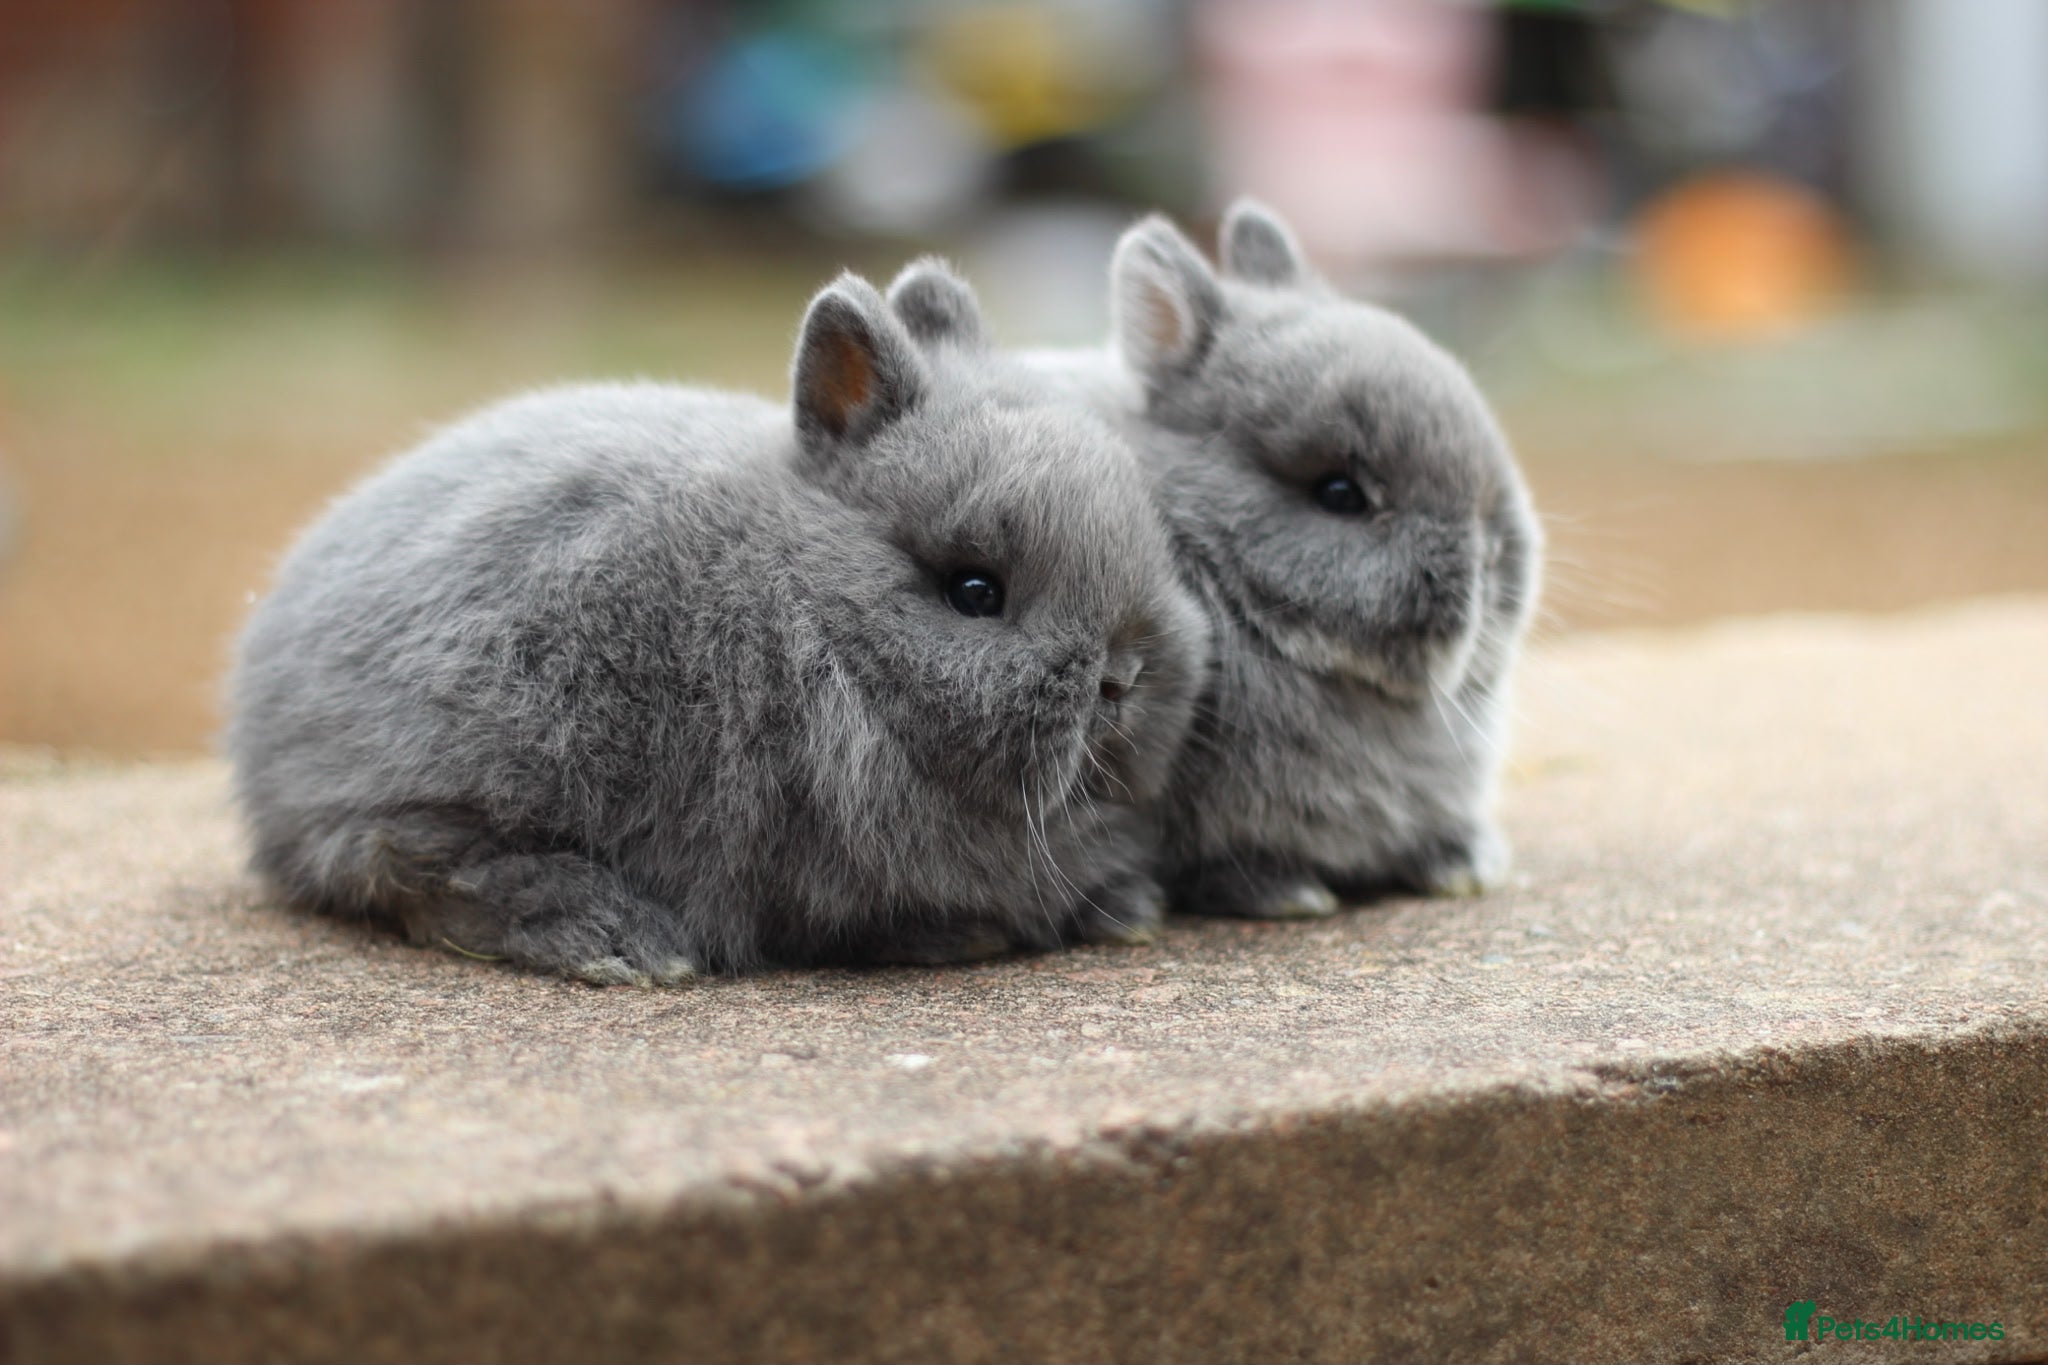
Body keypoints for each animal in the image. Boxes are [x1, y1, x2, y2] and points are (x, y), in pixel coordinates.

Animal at [226, 267, 1208, 983]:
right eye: (974, 589)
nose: (1123, 677)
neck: (816, 614)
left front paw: (1125, 908)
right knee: (413, 866)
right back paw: (620, 941)